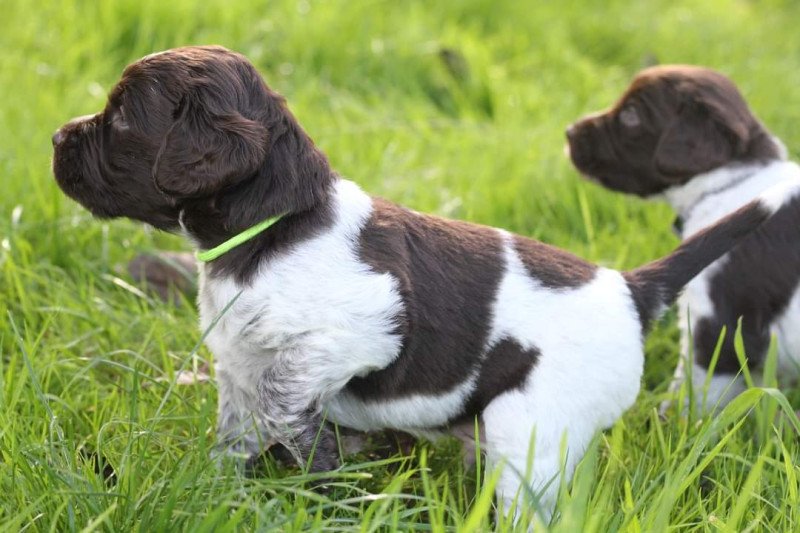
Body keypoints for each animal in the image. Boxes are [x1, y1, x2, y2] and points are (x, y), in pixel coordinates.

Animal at [568, 65, 800, 412]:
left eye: (631, 115)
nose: (569, 132)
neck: (729, 182)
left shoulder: (716, 324)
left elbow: (694, 393)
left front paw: (670, 420)